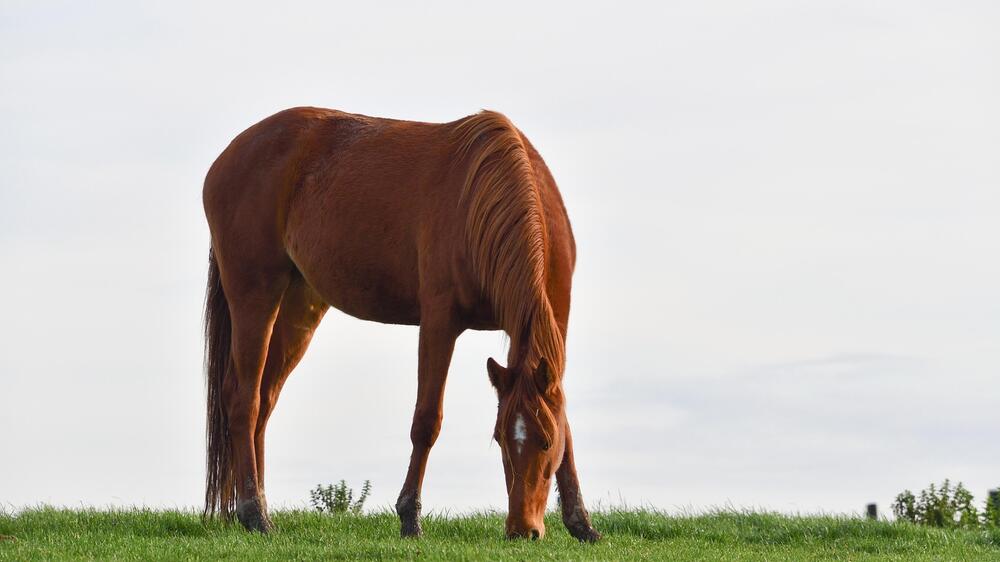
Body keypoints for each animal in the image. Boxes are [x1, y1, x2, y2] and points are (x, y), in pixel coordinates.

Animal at [199, 105, 596, 540]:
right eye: (500, 440)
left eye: (544, 442)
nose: (522, 529)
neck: (488, 196)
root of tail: (228, 157)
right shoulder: (439, 323)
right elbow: (426, 420)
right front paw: (410, 516)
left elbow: (566, 423)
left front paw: (581, 521)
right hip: (255, 295)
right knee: (244, 399)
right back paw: (254, 512)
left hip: (298, 306)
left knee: (265, 400)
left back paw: (257, 506)